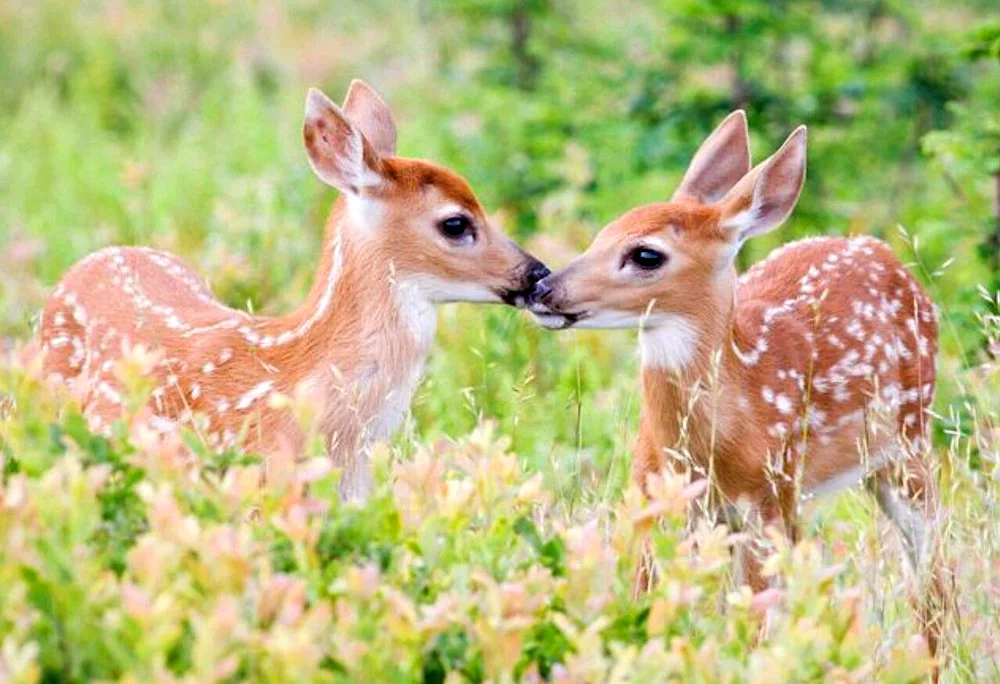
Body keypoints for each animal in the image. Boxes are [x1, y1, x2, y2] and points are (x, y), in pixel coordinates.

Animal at [532, 113, 944, 664]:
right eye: (601, 234)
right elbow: (646, 600)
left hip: (907, 442)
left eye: (645, 254)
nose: (543, 288)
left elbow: (755, 621)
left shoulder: (768, 495)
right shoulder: (656, 495)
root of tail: (882, 251)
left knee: (932, 571)